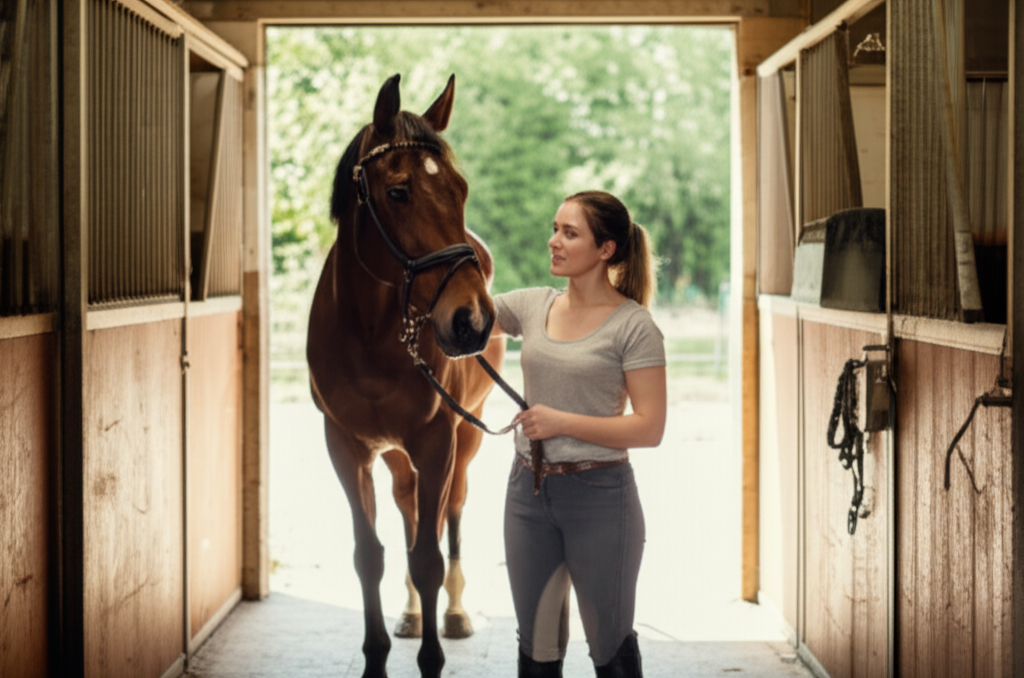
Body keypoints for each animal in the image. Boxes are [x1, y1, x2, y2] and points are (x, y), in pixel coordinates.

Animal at [306, 73, 504, 678]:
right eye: (398, 192)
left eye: (460, 189)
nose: (472, 320)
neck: (372, 336)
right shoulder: (346, 446)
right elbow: (369, 554)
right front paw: (376, 657)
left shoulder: (437, 440)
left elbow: (428, 557)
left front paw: (432, 658)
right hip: (396, 455)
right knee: (411, 508)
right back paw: (415, 614)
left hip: (466, 437)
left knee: (450, 514)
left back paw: (454, 614)